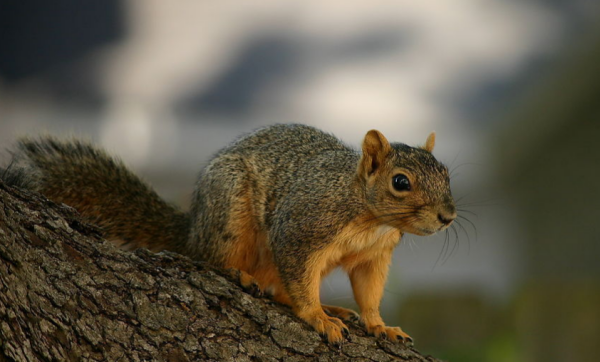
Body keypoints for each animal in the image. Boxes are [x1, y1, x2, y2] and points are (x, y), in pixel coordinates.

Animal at [3, 123, 454, 344]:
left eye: (447, 174)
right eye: (400, 182)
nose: (448, 216)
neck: (369, 216)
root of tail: (193, 228)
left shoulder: (375, 255)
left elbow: (369, 291)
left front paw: (380, 326)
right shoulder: (300, 230)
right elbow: (300, 280)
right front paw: (316, 318)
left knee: (279, 289)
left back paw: (336, 309)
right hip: (231, 215)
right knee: (215, 260)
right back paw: (243, 276)